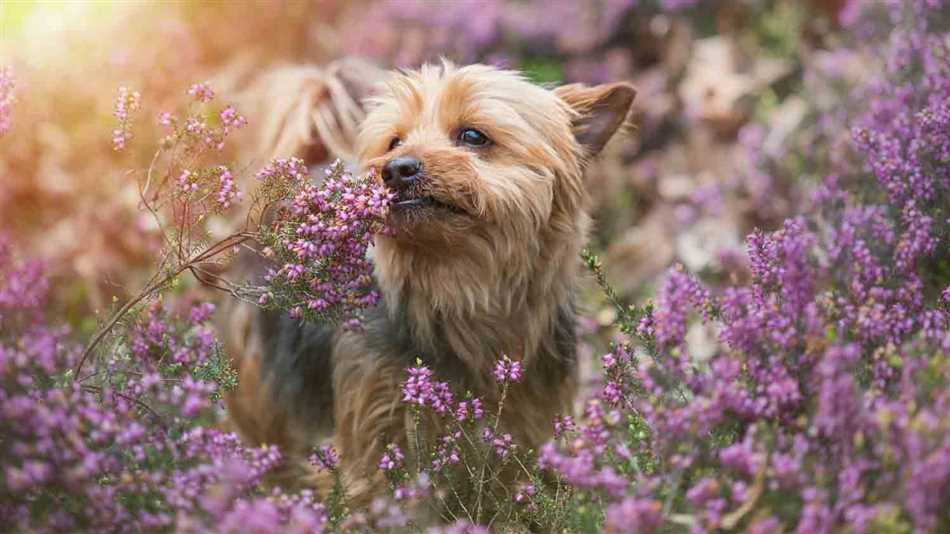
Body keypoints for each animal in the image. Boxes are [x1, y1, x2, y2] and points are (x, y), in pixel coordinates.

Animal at [221, 62, 640, 510]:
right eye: (394, 141)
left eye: (473, 135)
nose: (395, 168)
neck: (463, 286)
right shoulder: (372, 435)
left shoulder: (524, 426)